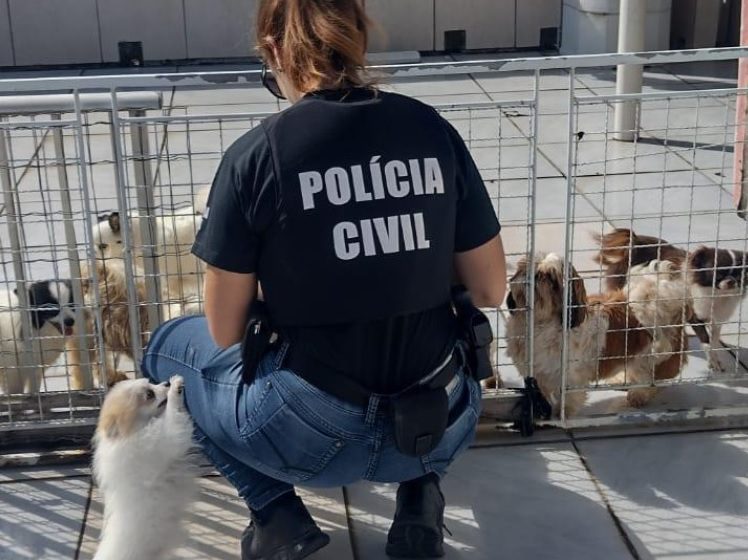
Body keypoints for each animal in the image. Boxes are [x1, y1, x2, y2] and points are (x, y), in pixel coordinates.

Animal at [93, 376, 197, 560]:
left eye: (151, 383)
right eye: (149, 394)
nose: (166, 383)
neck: (133, 432)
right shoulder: (164, 439)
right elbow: (174, 417)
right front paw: (175, 390)